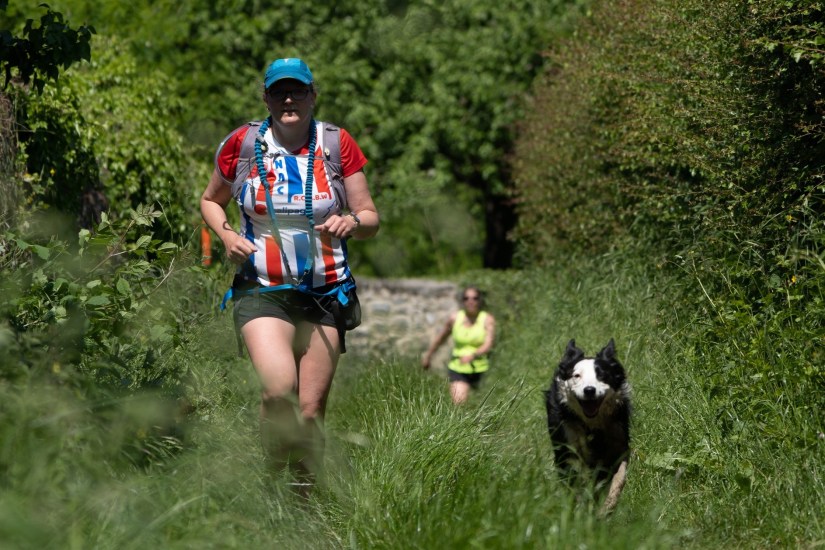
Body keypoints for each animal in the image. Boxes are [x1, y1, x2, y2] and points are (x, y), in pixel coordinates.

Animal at [544, 338, 631, 515]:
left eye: (602, 375)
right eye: (576, 375)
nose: (589, 390)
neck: (592, 424)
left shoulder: (618, 442)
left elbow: (619, 477)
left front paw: (606, 507)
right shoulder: (569, 446)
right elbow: (576, 482)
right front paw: (581, 510)